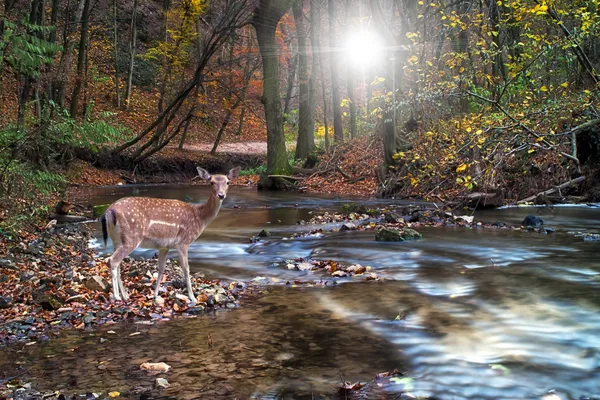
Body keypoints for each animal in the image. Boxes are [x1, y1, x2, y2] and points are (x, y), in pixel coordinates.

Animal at [99, 166, 240, 304]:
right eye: (211, 182)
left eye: (228, 182)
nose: (221, 195)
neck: (199, 217)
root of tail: (108, 211)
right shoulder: (184, 242)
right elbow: (186, 268)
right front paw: (193, 297)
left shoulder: (164, 246)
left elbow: (161, 268)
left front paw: (155, 296)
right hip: (131, 236)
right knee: (113, 260)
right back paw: (117, 296)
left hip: (117, 239)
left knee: (117, 262)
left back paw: (124, 295)